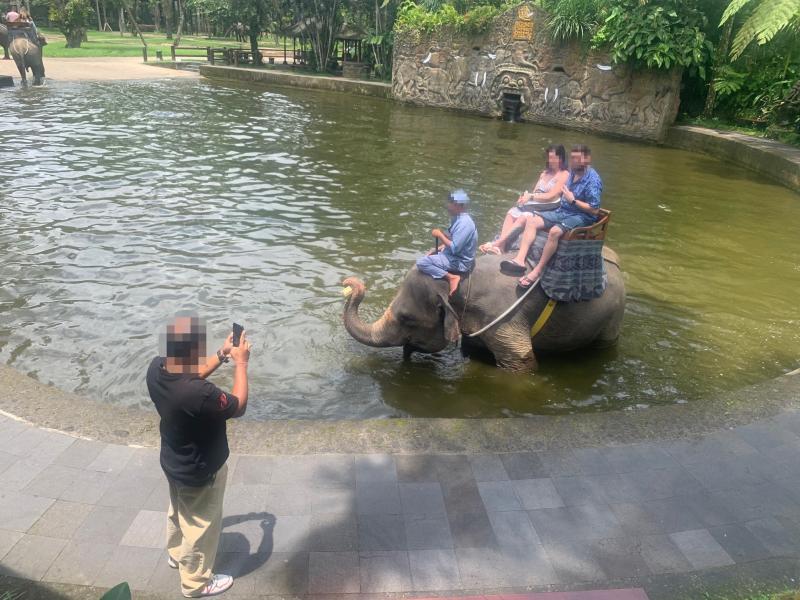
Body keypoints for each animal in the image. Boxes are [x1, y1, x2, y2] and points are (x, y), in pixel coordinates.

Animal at [342, 246, 625, 371]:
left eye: (406, 318)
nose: (349, 283)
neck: (462, 279)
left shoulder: (504, 320)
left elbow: (522, 362)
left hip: (613, 316)